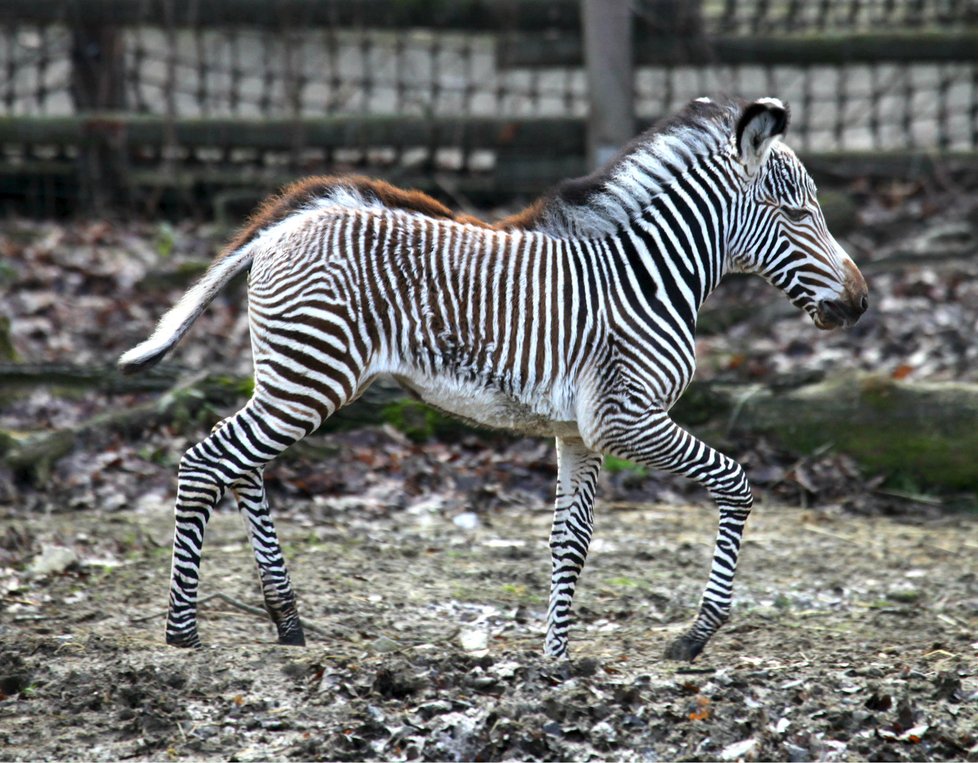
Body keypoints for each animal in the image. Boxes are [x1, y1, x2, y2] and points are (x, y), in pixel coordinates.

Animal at [124, 94, 868, 656]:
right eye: (797, 212)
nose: (860, 304)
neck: (646, 277)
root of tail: (283, 227)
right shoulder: (626, 418)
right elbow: (735, 484)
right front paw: (695, 634)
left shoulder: (580, 433)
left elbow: (571, 543)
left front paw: (556, 660)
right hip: (310, 377)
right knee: (206, 461)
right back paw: (183, 632)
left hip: (293, 378)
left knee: (239, 466)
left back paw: (286, 620)